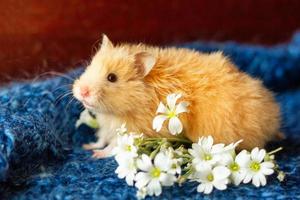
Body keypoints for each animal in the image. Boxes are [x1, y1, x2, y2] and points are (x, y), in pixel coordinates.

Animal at [72, 35, 282, 159]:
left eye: (112, 78)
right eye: (90, 66)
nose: (82, 91)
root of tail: (273, 120)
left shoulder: (132, 131)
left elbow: (113, 146)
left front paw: (96, 155)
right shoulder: (107, 127)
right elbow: (101, 138)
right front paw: (87, 146)